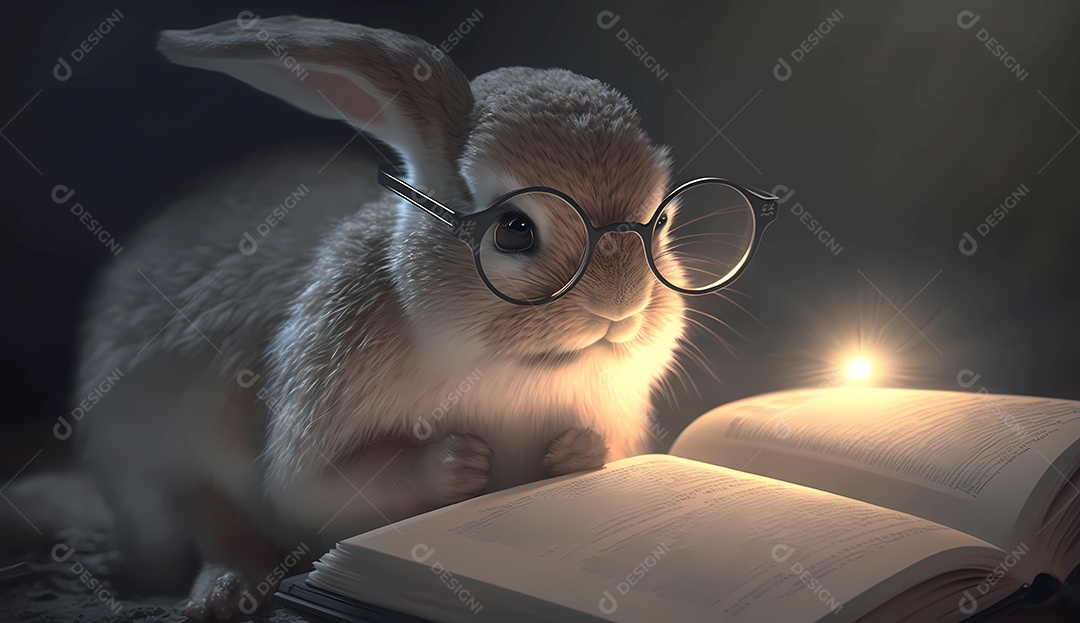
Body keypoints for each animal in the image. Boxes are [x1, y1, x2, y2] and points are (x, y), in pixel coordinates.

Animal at [74, 14, 687, 620]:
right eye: (514, 230)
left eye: (658, 221)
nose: (620, 308)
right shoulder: (313, 425)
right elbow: (318, 490)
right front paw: (460, 463)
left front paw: (573, 452)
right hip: (161, 471)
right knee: (214, 528)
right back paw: (226, 592)